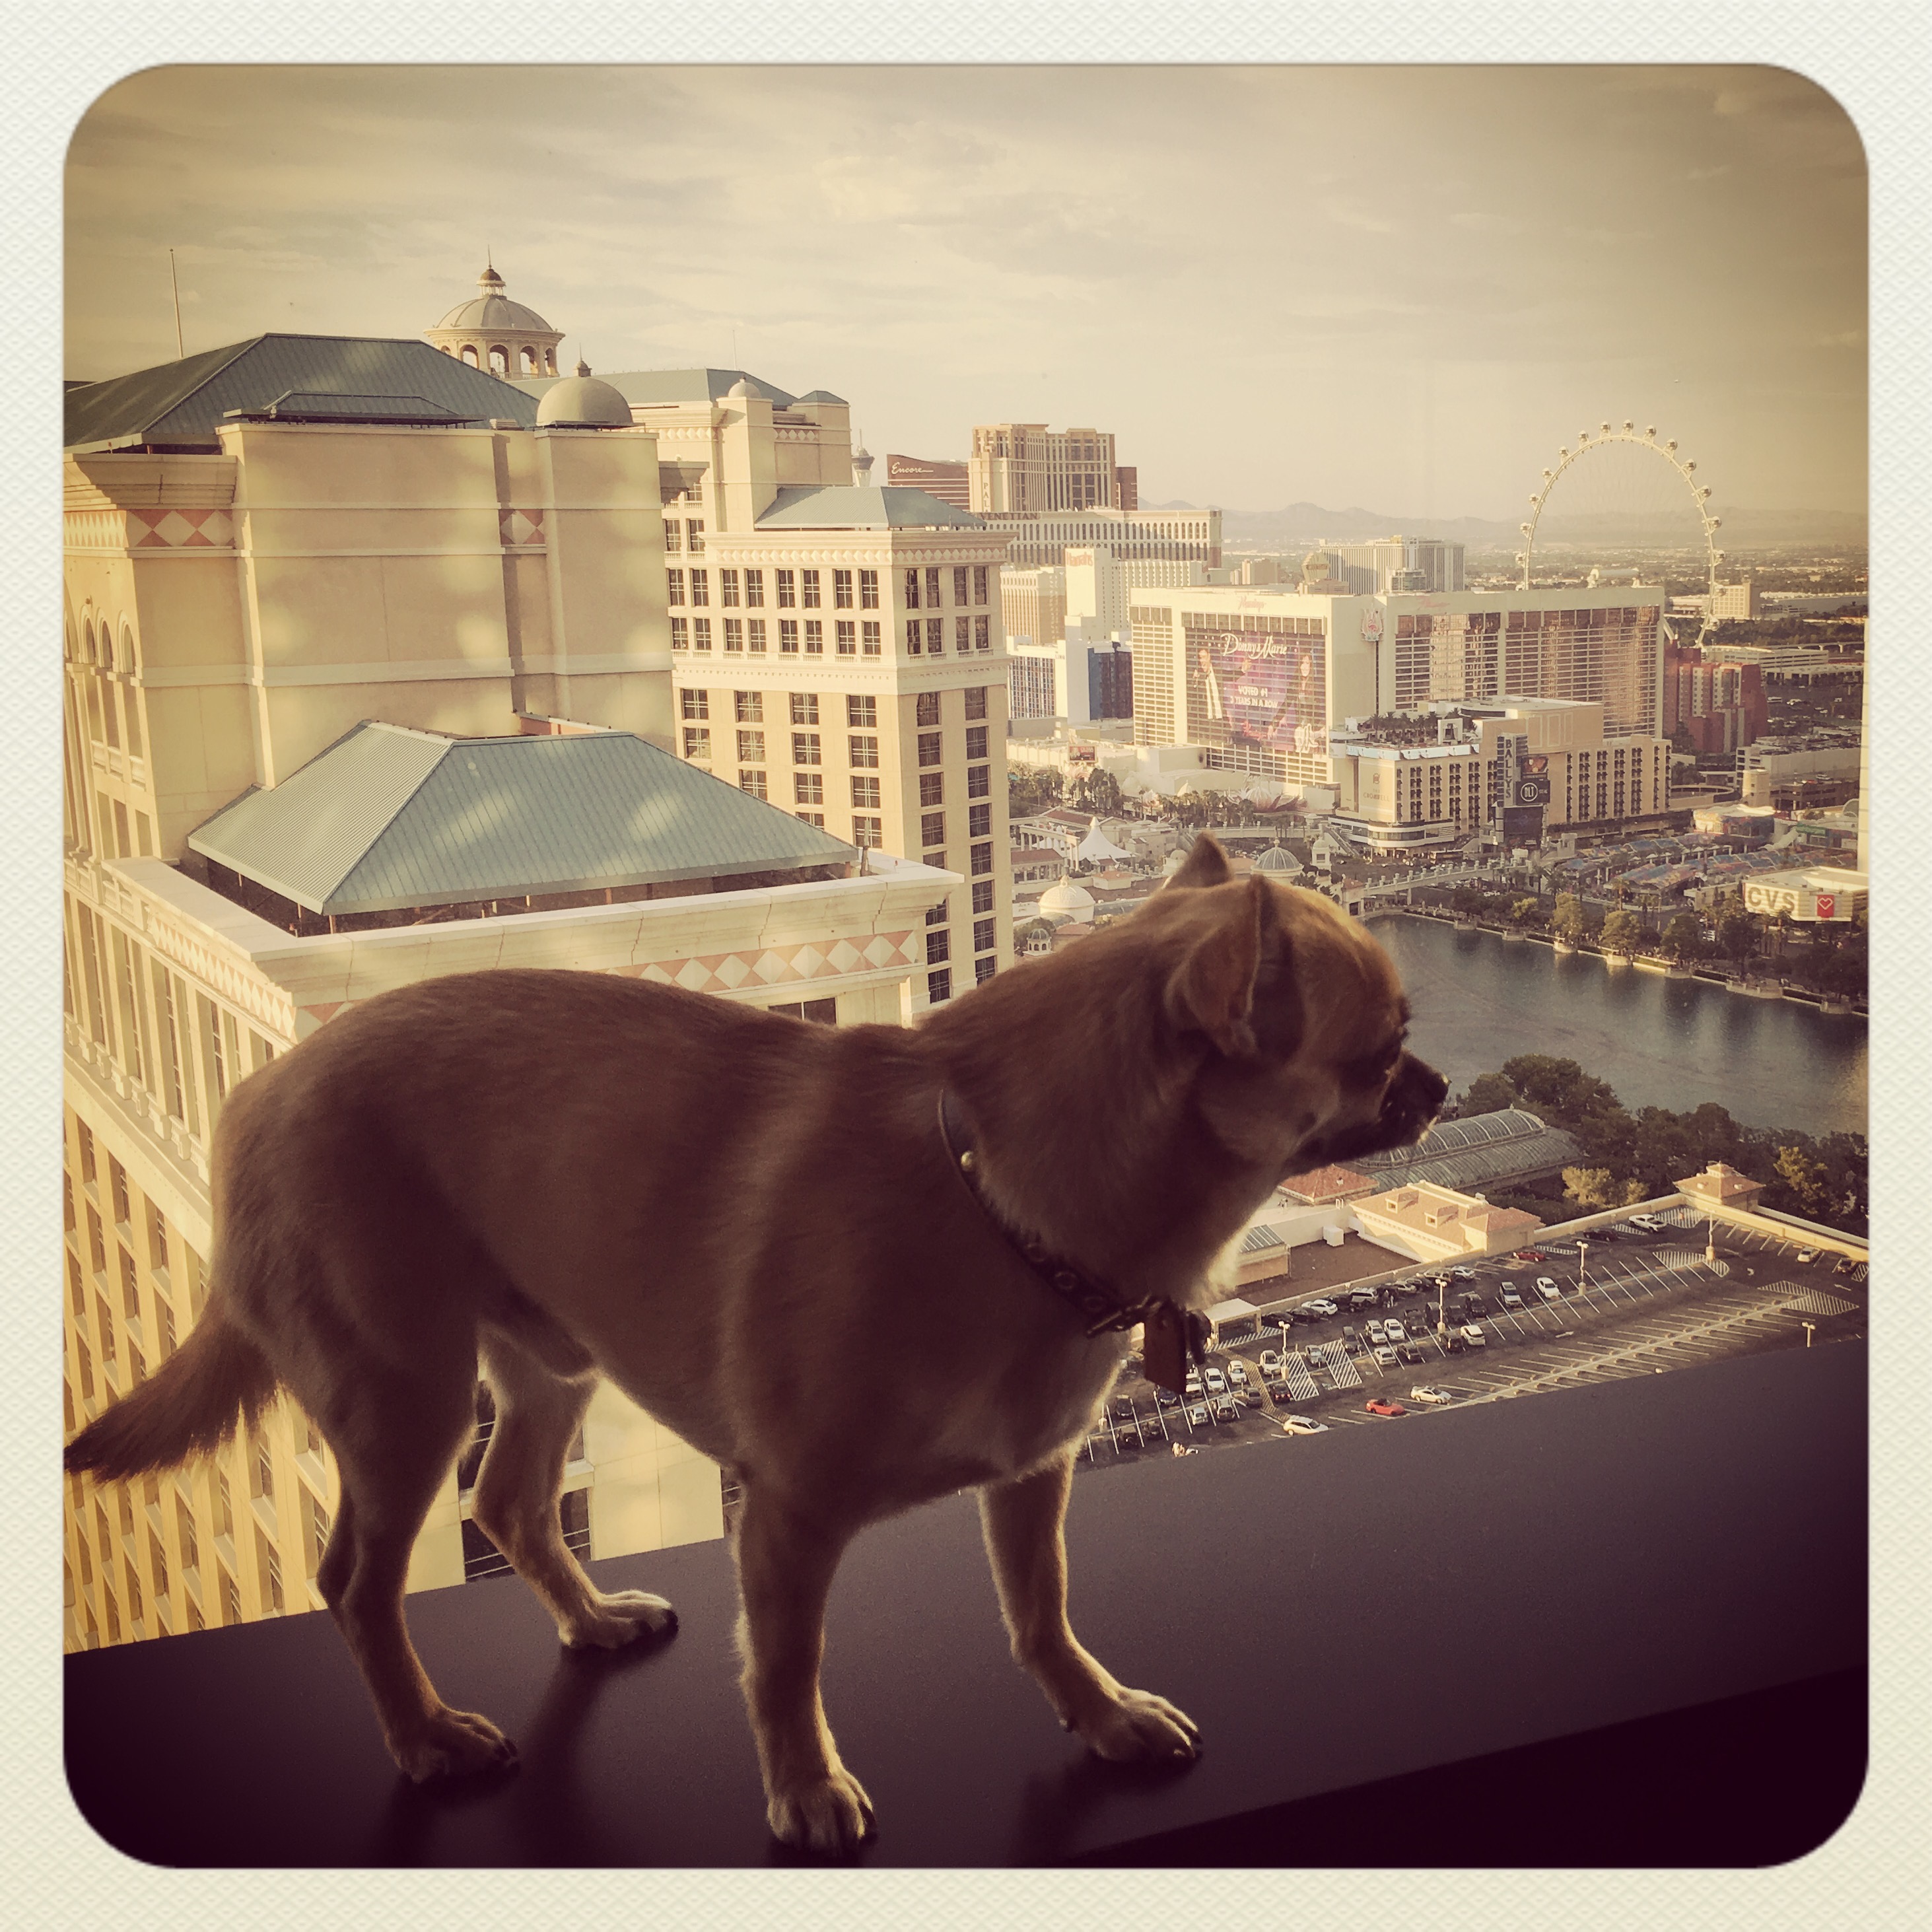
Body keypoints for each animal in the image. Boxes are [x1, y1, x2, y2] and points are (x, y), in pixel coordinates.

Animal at [66, 833, 1445, 1853]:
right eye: (1379, 1041)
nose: (1433, 1084)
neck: (993, 1192)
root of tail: (256, 1094)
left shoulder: (1030, 1478)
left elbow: (1042, 1608)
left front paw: (1097, 1714)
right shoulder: (785, 1517)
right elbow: (786, 1666)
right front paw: (806, 1791)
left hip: (545, 1365)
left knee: (510, 1502)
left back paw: (589, 1618)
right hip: (405, 1399)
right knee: (357, 1581)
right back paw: (424, 1738)